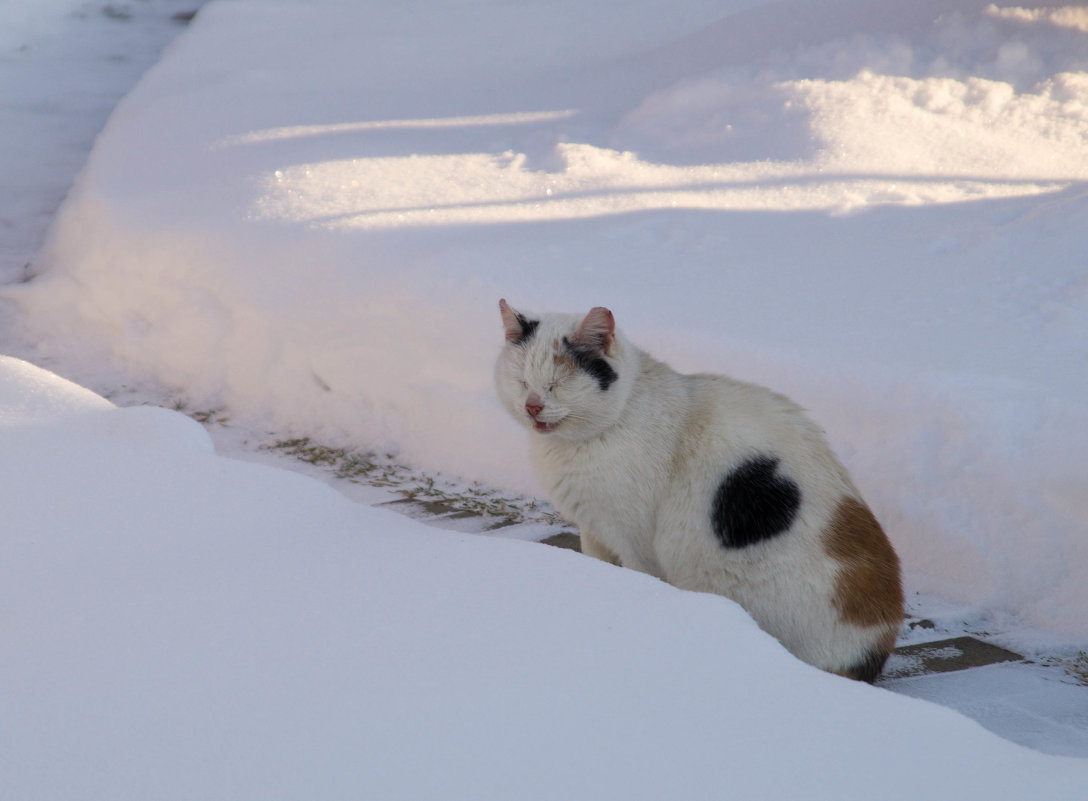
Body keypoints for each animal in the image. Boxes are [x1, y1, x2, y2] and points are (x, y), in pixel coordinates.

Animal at [493, 300, 900, 683]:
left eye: (556, 384)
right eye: (522, 381)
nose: (532, 406)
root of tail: (876, 643)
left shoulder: (635, 542)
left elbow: (640, 577)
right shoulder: (595, 529)